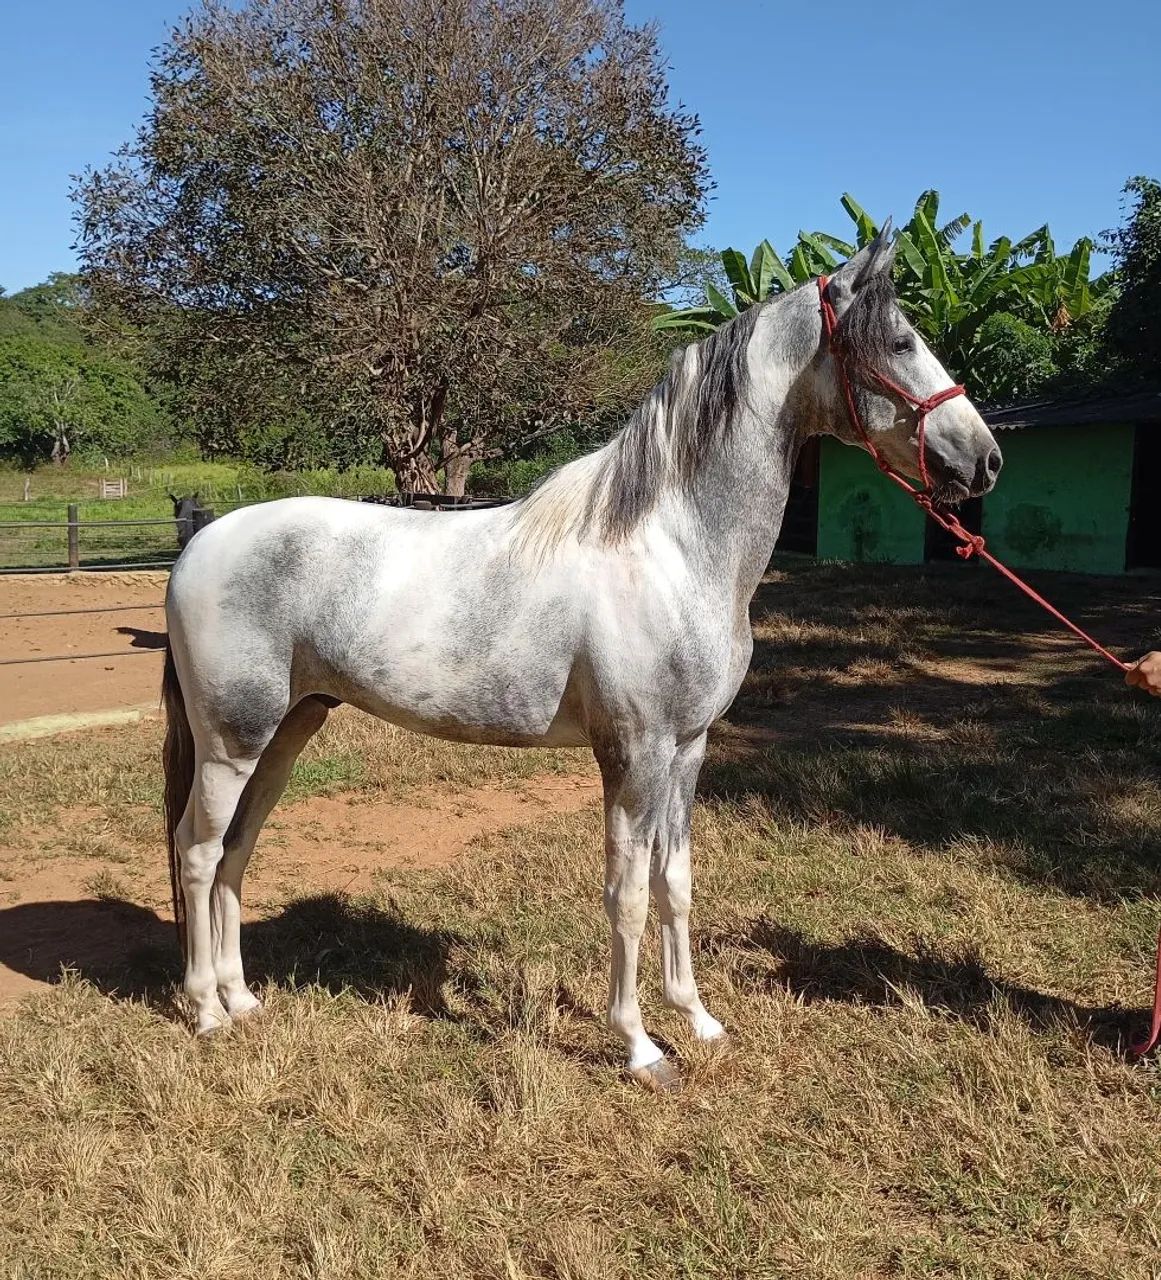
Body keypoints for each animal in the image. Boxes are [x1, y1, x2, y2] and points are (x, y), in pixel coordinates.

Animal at [162, 230, 1002, 1087]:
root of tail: (199, 544)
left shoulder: (687, 750)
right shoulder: (633, 753)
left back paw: (242, 1000)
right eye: (899, 342)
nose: (984, 460)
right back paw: (204, 1012)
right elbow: (625, 894)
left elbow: (674, 882)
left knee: (235, 853)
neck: (671, 546)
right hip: (233, 741)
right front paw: (639, 1047)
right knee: (197, 851)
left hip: (288, 732)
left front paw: (697, 1020)